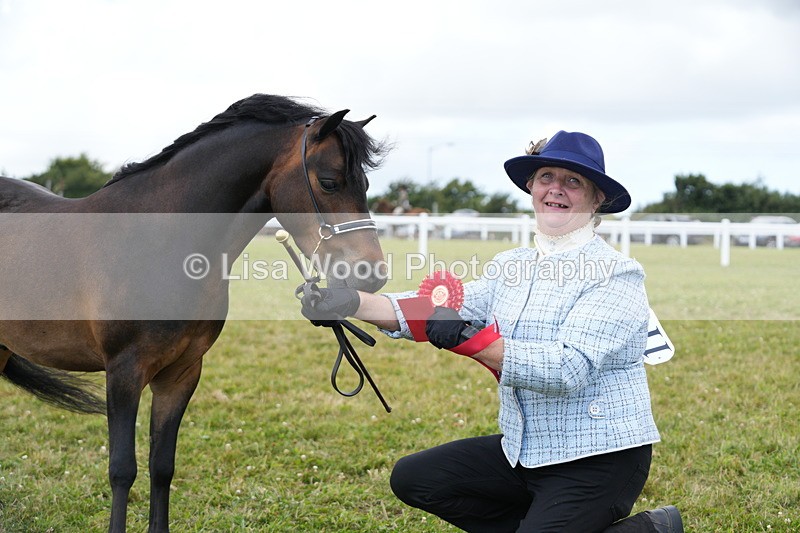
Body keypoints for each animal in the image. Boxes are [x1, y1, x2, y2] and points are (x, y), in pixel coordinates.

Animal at [0, 94, 388, 532]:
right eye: (329, 181)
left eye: (366, 185)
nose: (372, 273)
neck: (160, 241)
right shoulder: (124, 371)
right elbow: (122, 469)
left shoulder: (181, 372)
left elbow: (162, 466)